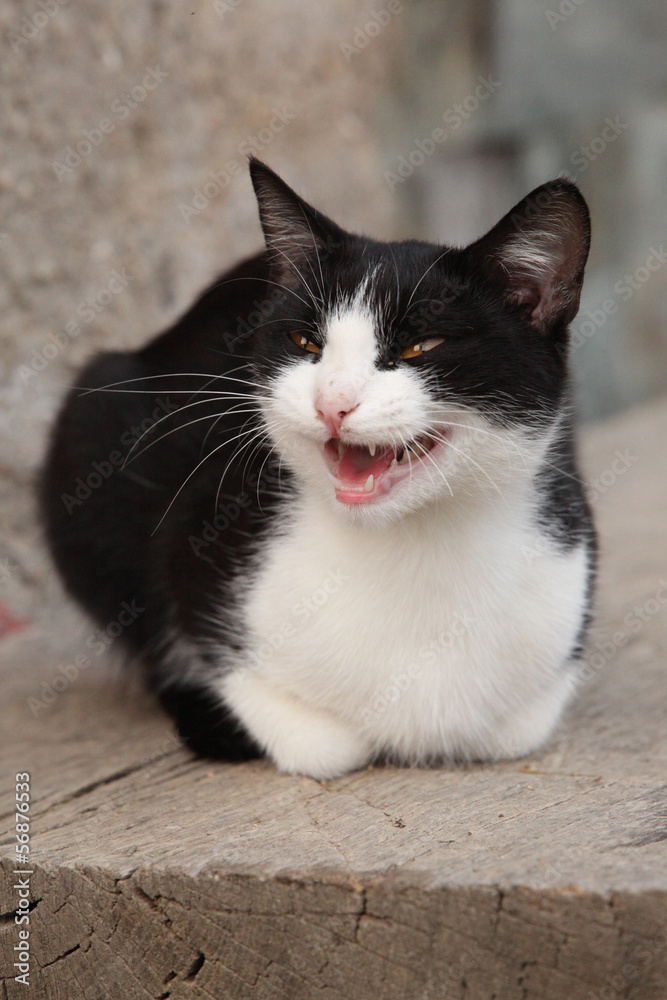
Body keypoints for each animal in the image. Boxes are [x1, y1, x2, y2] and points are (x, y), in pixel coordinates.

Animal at [40, 158, 596, 780]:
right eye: (305, 341)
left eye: (420, 346)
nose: (332, 402)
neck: (413, 543)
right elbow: (316, 739)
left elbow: (517, 727)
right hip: (89, 427)